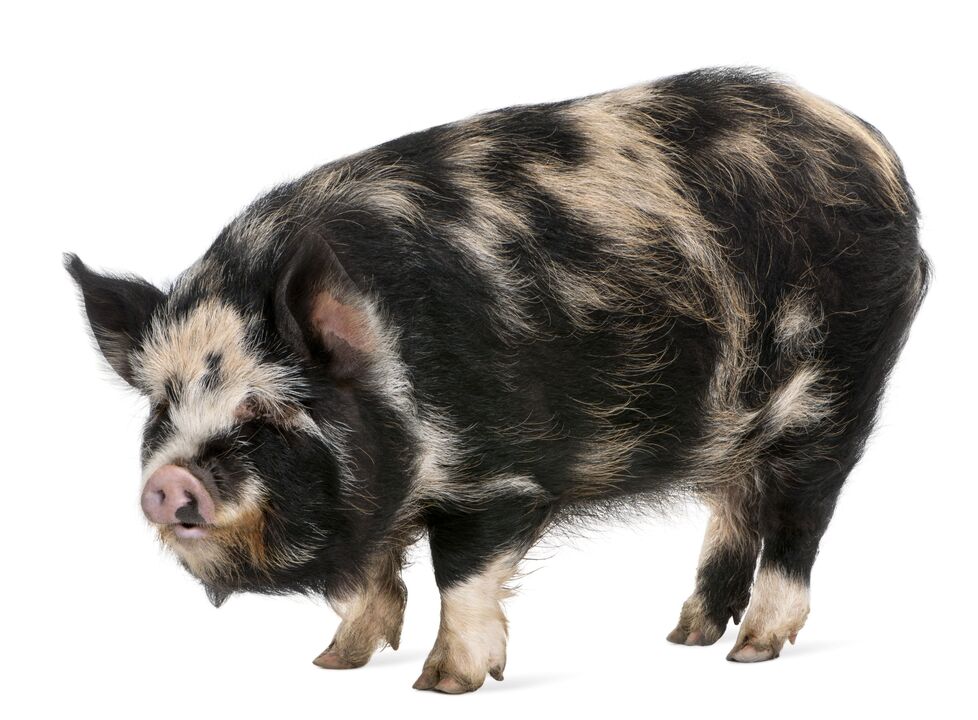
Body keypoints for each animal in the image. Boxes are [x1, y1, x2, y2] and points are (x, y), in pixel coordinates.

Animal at [67, 67, 929, 693]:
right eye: (163, 405)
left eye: (268, 409)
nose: (169, 481)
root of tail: (878, 152)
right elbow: (372, 577)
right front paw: (333, 663)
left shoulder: (497, 478)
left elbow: (461, 573)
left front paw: (442, 686)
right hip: (738, 426)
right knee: (734, 512)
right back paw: (686, 635)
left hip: (834, 397)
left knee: (797, 517)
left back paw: (749, 653)